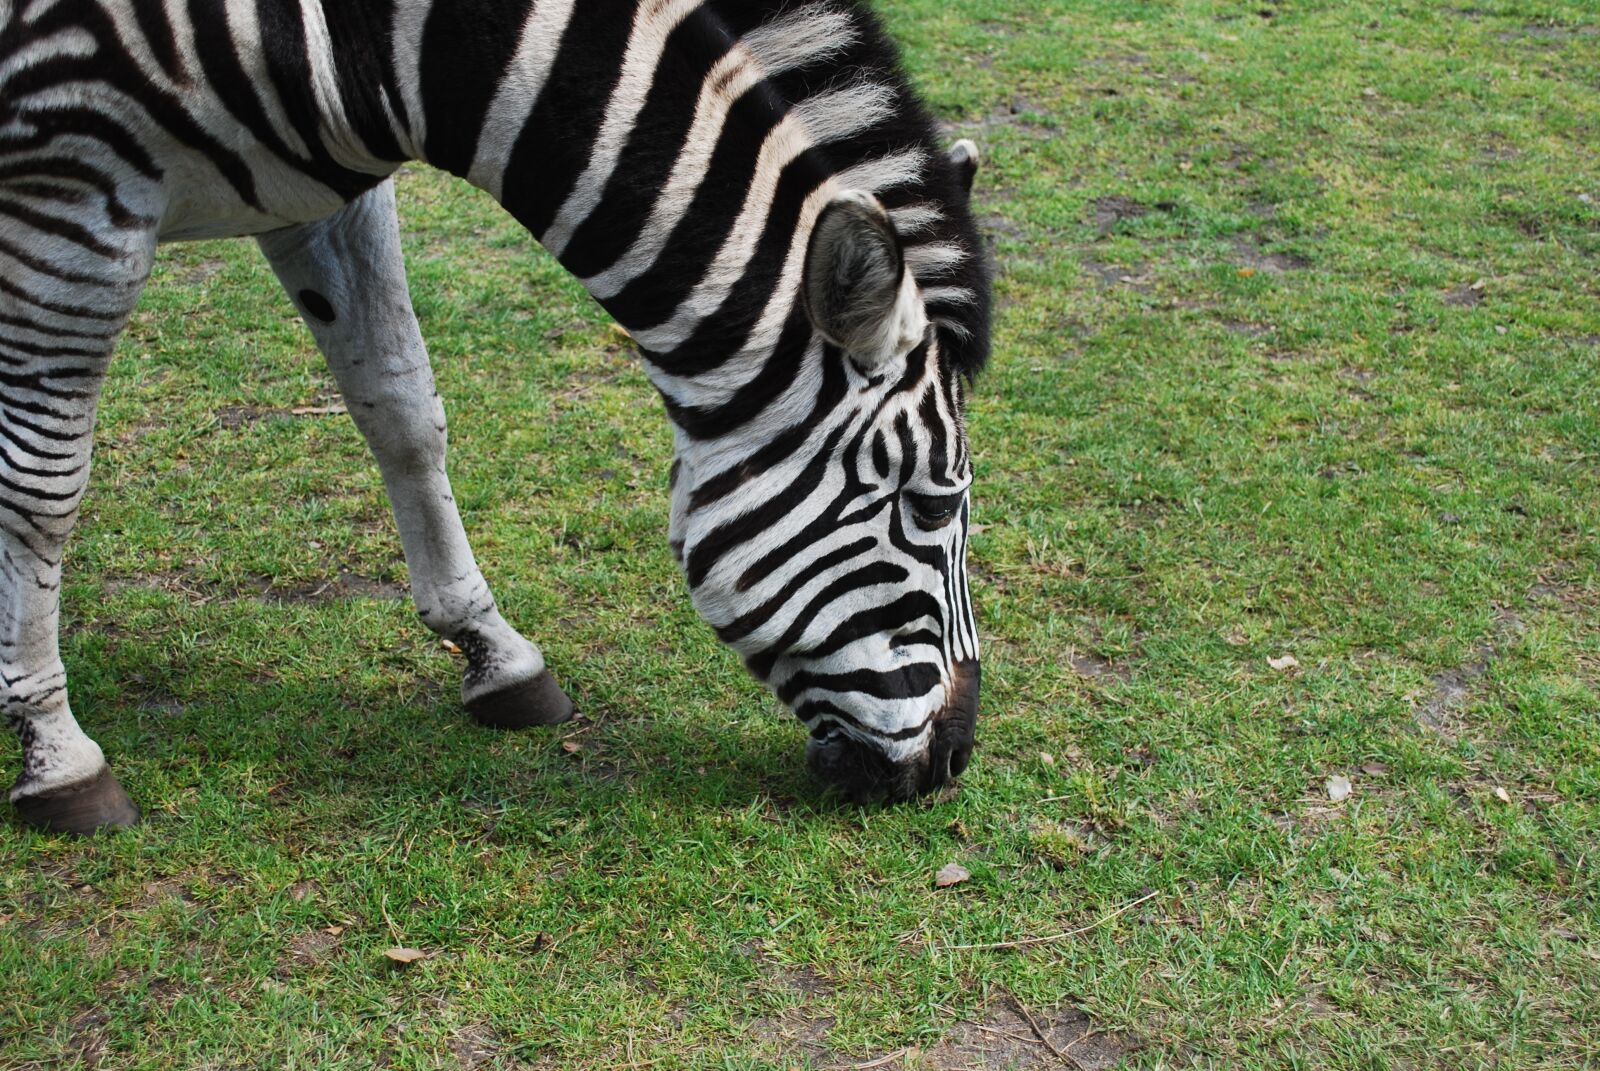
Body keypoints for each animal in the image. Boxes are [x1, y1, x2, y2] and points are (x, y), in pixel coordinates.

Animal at [0, 0, 992, 834]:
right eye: (933, 505)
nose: (954, 762)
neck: (387, 39)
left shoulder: (323, 195)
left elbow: (402, 409)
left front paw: (496, 654)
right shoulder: (68, 193)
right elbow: (42, 492)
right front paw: (57, 754)